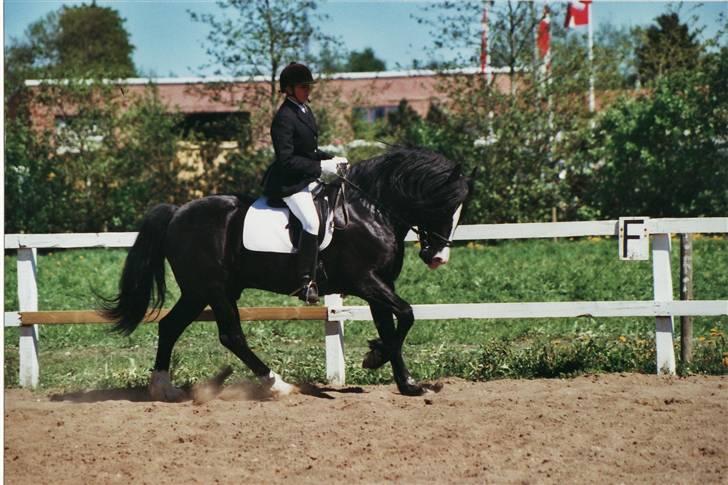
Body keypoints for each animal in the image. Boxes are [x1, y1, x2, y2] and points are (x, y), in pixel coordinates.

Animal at [102, 147, 472, 398]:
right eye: (441, 204)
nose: (437, 258)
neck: (368, 211)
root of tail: (177, 212)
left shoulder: (380, 284)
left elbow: (393, 324)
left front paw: (404, 381)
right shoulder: (366, 281)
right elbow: (406, 314)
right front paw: (376, 357)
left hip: (200, 291)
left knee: (170, 326)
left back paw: (164, 389)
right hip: (214, 289)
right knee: (231, 336)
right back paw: (276, 384)